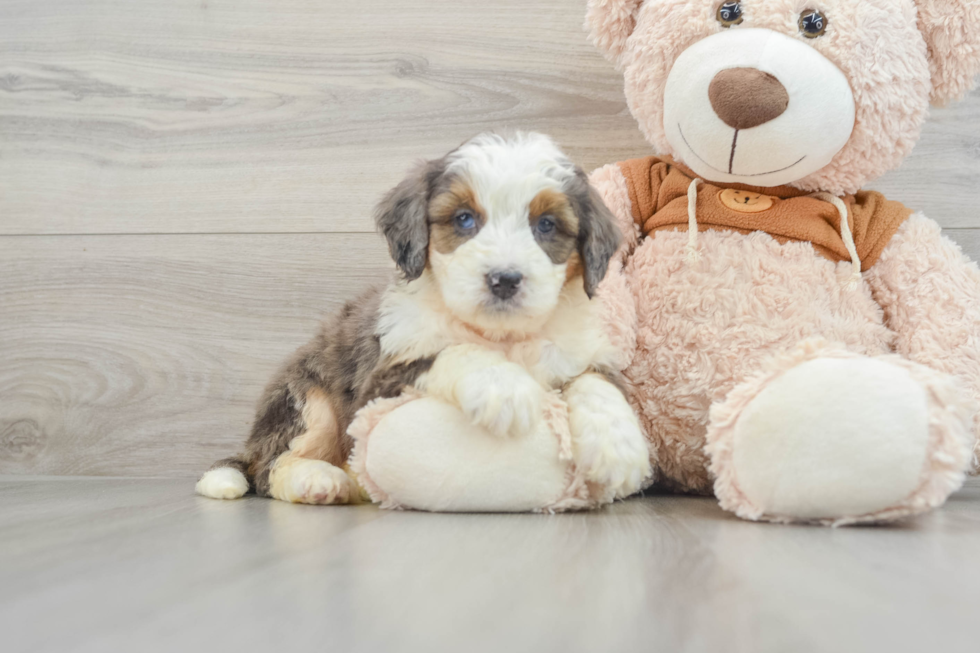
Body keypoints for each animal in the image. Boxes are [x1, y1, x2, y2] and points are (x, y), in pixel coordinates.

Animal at [196, 132, 652, 506]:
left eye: (546, 224)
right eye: (464, 218)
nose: (504, 279)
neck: (502, 336)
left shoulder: (579, 352)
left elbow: (596, 383)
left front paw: (620, 447)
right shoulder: (382, 377)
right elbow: (453, 350)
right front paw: (503, 387)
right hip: (306, 396)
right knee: (271, 466)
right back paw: (318, 480)